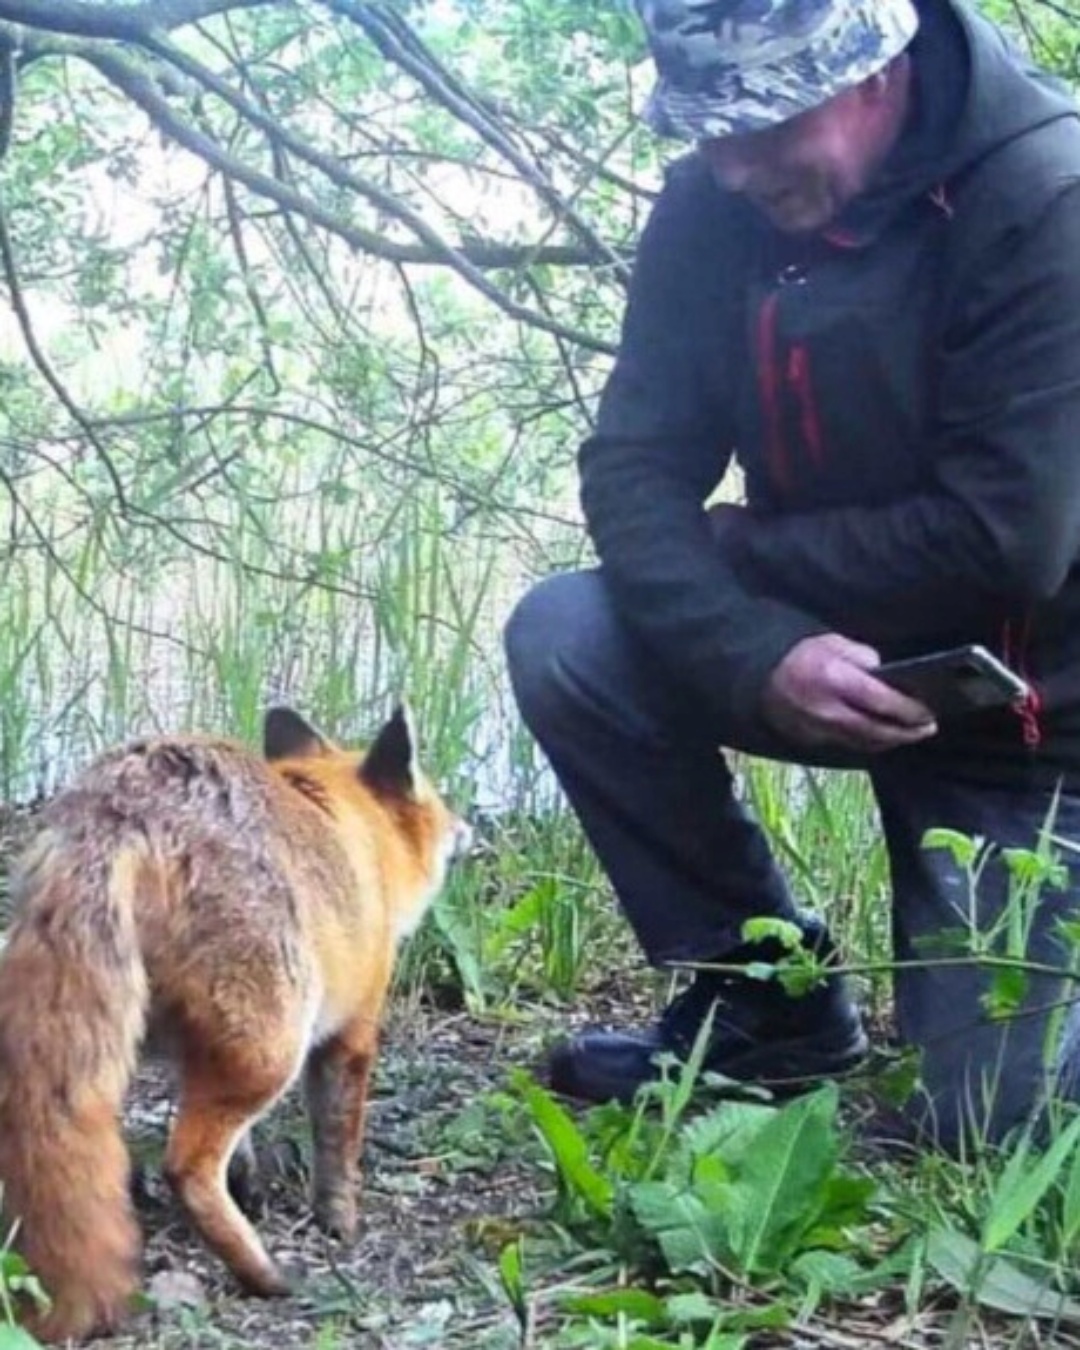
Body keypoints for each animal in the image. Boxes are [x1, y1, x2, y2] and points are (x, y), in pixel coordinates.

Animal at [0, 703, 469, 1343]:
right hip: (273, 1050)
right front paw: (338, 1219)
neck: (351, 833)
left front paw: (252, 1186)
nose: (470, 829)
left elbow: (244, 1146)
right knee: (187, 1167)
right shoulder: (351, 1031)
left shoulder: (198, 1051)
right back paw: (262, 1273)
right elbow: (337, 1142)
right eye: (438, 804)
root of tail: (124, 809)